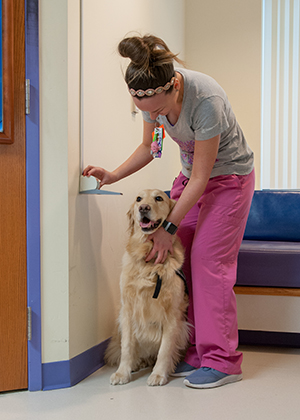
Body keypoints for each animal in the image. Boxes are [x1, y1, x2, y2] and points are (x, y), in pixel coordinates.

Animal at [105, 189, 189, 386]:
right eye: (138, 199)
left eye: (159, 198)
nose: (143, 208)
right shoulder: (127, 311)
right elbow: (127, 347)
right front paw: (122, 372)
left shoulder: (173, 314)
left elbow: (165, 349)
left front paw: (158, 374)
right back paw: (137, 363)